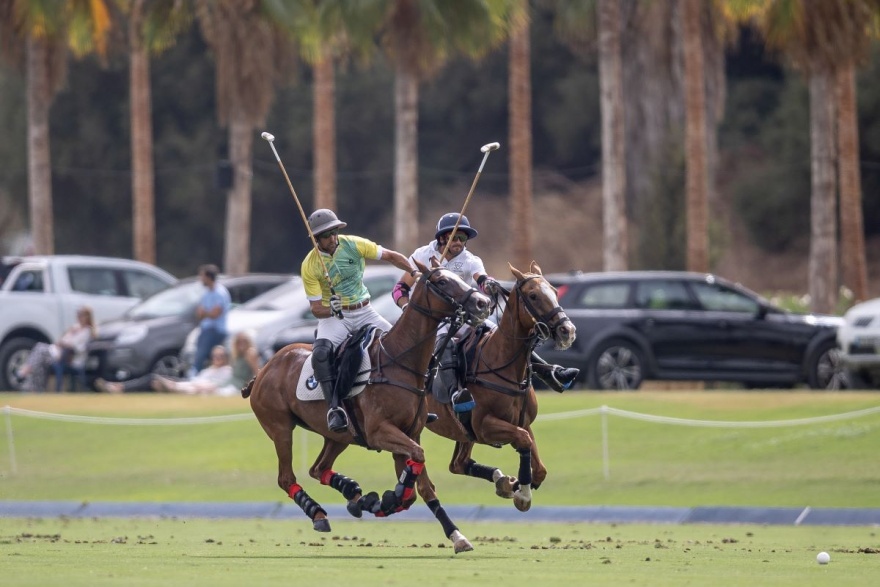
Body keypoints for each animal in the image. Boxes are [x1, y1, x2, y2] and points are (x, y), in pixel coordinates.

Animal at [244, 262, 492, 556]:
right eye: (441, 281)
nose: (483, 302)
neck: (401, 362)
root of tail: (263, 370)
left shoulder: (410, 435)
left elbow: (421, 487)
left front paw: (455, 535)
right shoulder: (379, 432)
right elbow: (417, 468)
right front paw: (385, 499)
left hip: (339, 435)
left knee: (318, 468)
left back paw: (351, 490)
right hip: (280, 428)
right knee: (285, 477)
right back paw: (318, 513)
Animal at [422, 264, 576, 512]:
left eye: (554, 290)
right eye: (533, 295)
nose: (567, 330)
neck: (505, 366)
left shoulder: (522, 423)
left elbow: (538, 466)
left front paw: (514, 485)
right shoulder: (485, 427)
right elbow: (523, 441)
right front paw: (522, 494)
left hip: (464, 433)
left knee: (458, 464)